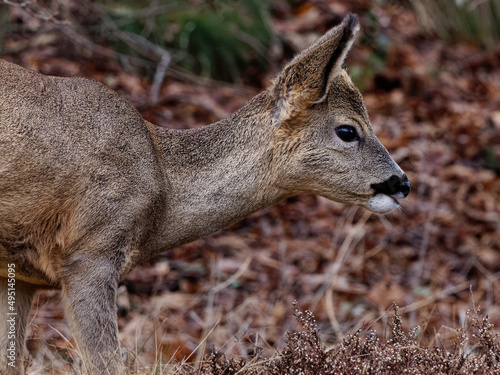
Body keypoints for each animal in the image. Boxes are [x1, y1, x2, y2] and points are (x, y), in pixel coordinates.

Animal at [0, 13, 410, 375]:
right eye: (347, 131)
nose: (402, 183)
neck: (163, 183)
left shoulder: (22, 274)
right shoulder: (90, 251)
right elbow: (106, 364)